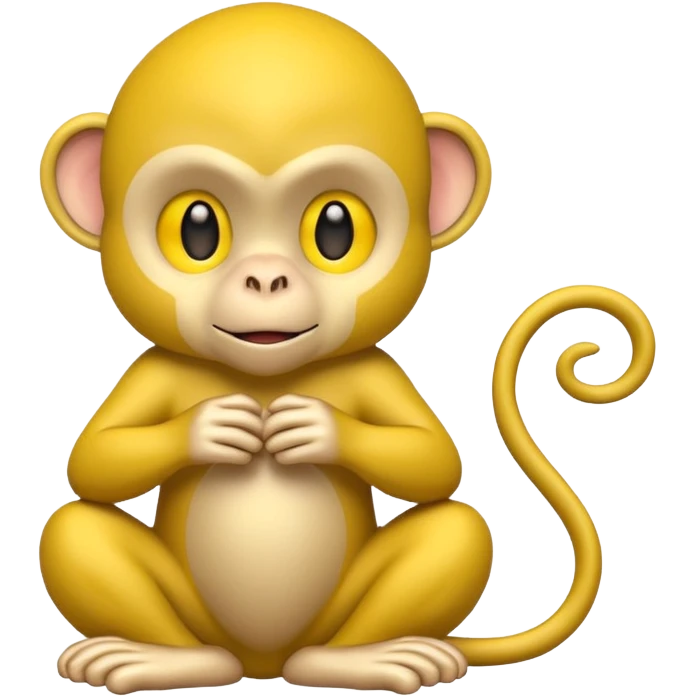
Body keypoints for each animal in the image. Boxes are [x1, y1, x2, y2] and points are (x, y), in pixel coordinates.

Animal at [37, 3, 657, 695]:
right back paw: (158, 659)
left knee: (457, 528)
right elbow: (93, 462)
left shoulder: (375, 369)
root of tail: (263, 663)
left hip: (337, 619)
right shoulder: (153, 368)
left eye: (336, 229)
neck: (266, 377)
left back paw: (368, 659)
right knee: (73, 526)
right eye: (198, 229)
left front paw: (314, 427)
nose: (266, 279)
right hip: (199, 622)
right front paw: (213, 426)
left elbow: (434, 461)